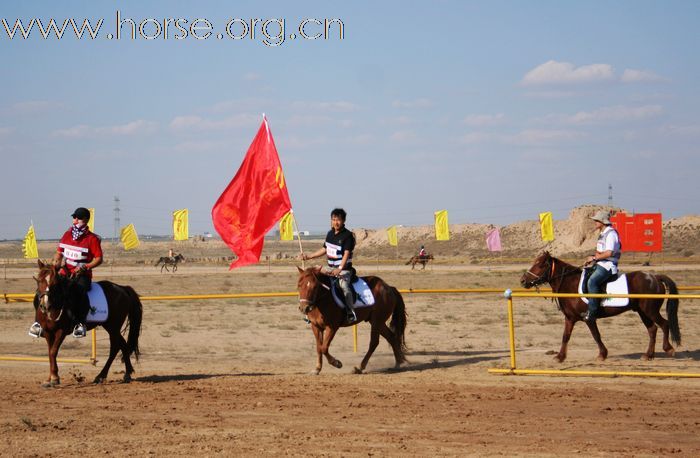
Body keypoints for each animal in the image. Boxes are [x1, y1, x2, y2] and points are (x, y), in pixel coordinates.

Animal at [520, 250, 680, 362]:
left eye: (540, 264)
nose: (523, 281)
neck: (570, 283)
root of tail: (654, 277)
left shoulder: (589, 318)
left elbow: (596, 335)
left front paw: (602, 354)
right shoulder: (570, 318)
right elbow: (566, 336)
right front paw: (560, 357)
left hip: (650, 311)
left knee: (664, 324)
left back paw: (668, 349)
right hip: (642, 312)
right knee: (652, 329)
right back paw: (648, 355)